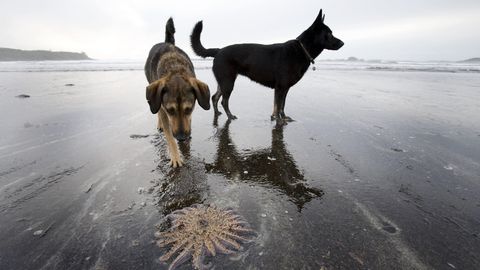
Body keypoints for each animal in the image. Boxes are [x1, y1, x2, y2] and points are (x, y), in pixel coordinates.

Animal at [143, 17, 209, 167]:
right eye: (170, 110)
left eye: (189, 109)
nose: (181, 138)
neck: (175, 69)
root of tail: (167, 42)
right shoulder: (163, 109)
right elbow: (169, 137)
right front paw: (175, 157)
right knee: (156, 110)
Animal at [189, 9, 344, 121]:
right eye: (329, 33)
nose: (342, 43)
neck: (301, 49)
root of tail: (219, 50)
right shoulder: (280, 87)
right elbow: (278, 105)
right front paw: (278, 120)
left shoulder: (285, 88)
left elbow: (282, 105)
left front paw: (282, 117)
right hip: (228, 82)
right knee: (223, 101)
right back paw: (230, 116)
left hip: (224, 82)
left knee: (215, 98)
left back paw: (218, 114)